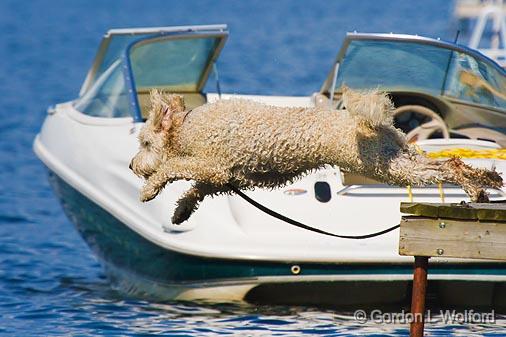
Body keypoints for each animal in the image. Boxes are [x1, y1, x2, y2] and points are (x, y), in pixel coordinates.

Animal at [130, 88, 502, 223]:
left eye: (145, 143)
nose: (133, 166)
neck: (190, 127)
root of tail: (369, 121)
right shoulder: (224, 177)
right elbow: (195, 191)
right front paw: (180, 212)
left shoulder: (213, 165)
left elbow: (173, 168)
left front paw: (148, 190)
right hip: (399, 155)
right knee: (447, 163)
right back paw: (484, 181)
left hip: (387, 167)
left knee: (440, 170)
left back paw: (476, 186)